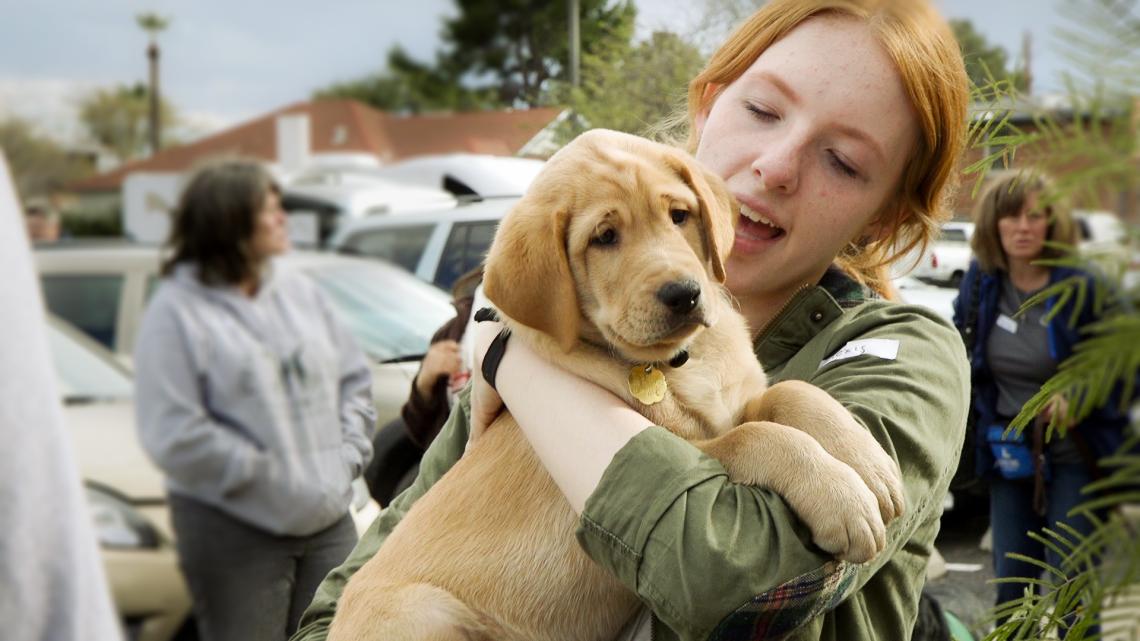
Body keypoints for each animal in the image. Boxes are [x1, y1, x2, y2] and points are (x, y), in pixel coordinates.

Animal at [328, 128, 898, 638]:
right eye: (604, 238)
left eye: (679, 216)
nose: (685, 293)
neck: (680, 362)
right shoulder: (691, 447)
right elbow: (759, 437)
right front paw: (842, 497)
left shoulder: (737, 402)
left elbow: (793, 392)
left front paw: (868, 463)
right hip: (426, 613)